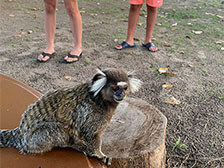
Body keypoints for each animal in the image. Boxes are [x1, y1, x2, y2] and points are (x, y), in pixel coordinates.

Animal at [0, 68, 142, 165]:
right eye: (115, 88)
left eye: (124, 88)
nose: (120, 94)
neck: (100, 99)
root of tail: (19, 133)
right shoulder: (91, 113)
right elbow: (90, 134)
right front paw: (99, 154)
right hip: (35, 139)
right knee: (58, 130)